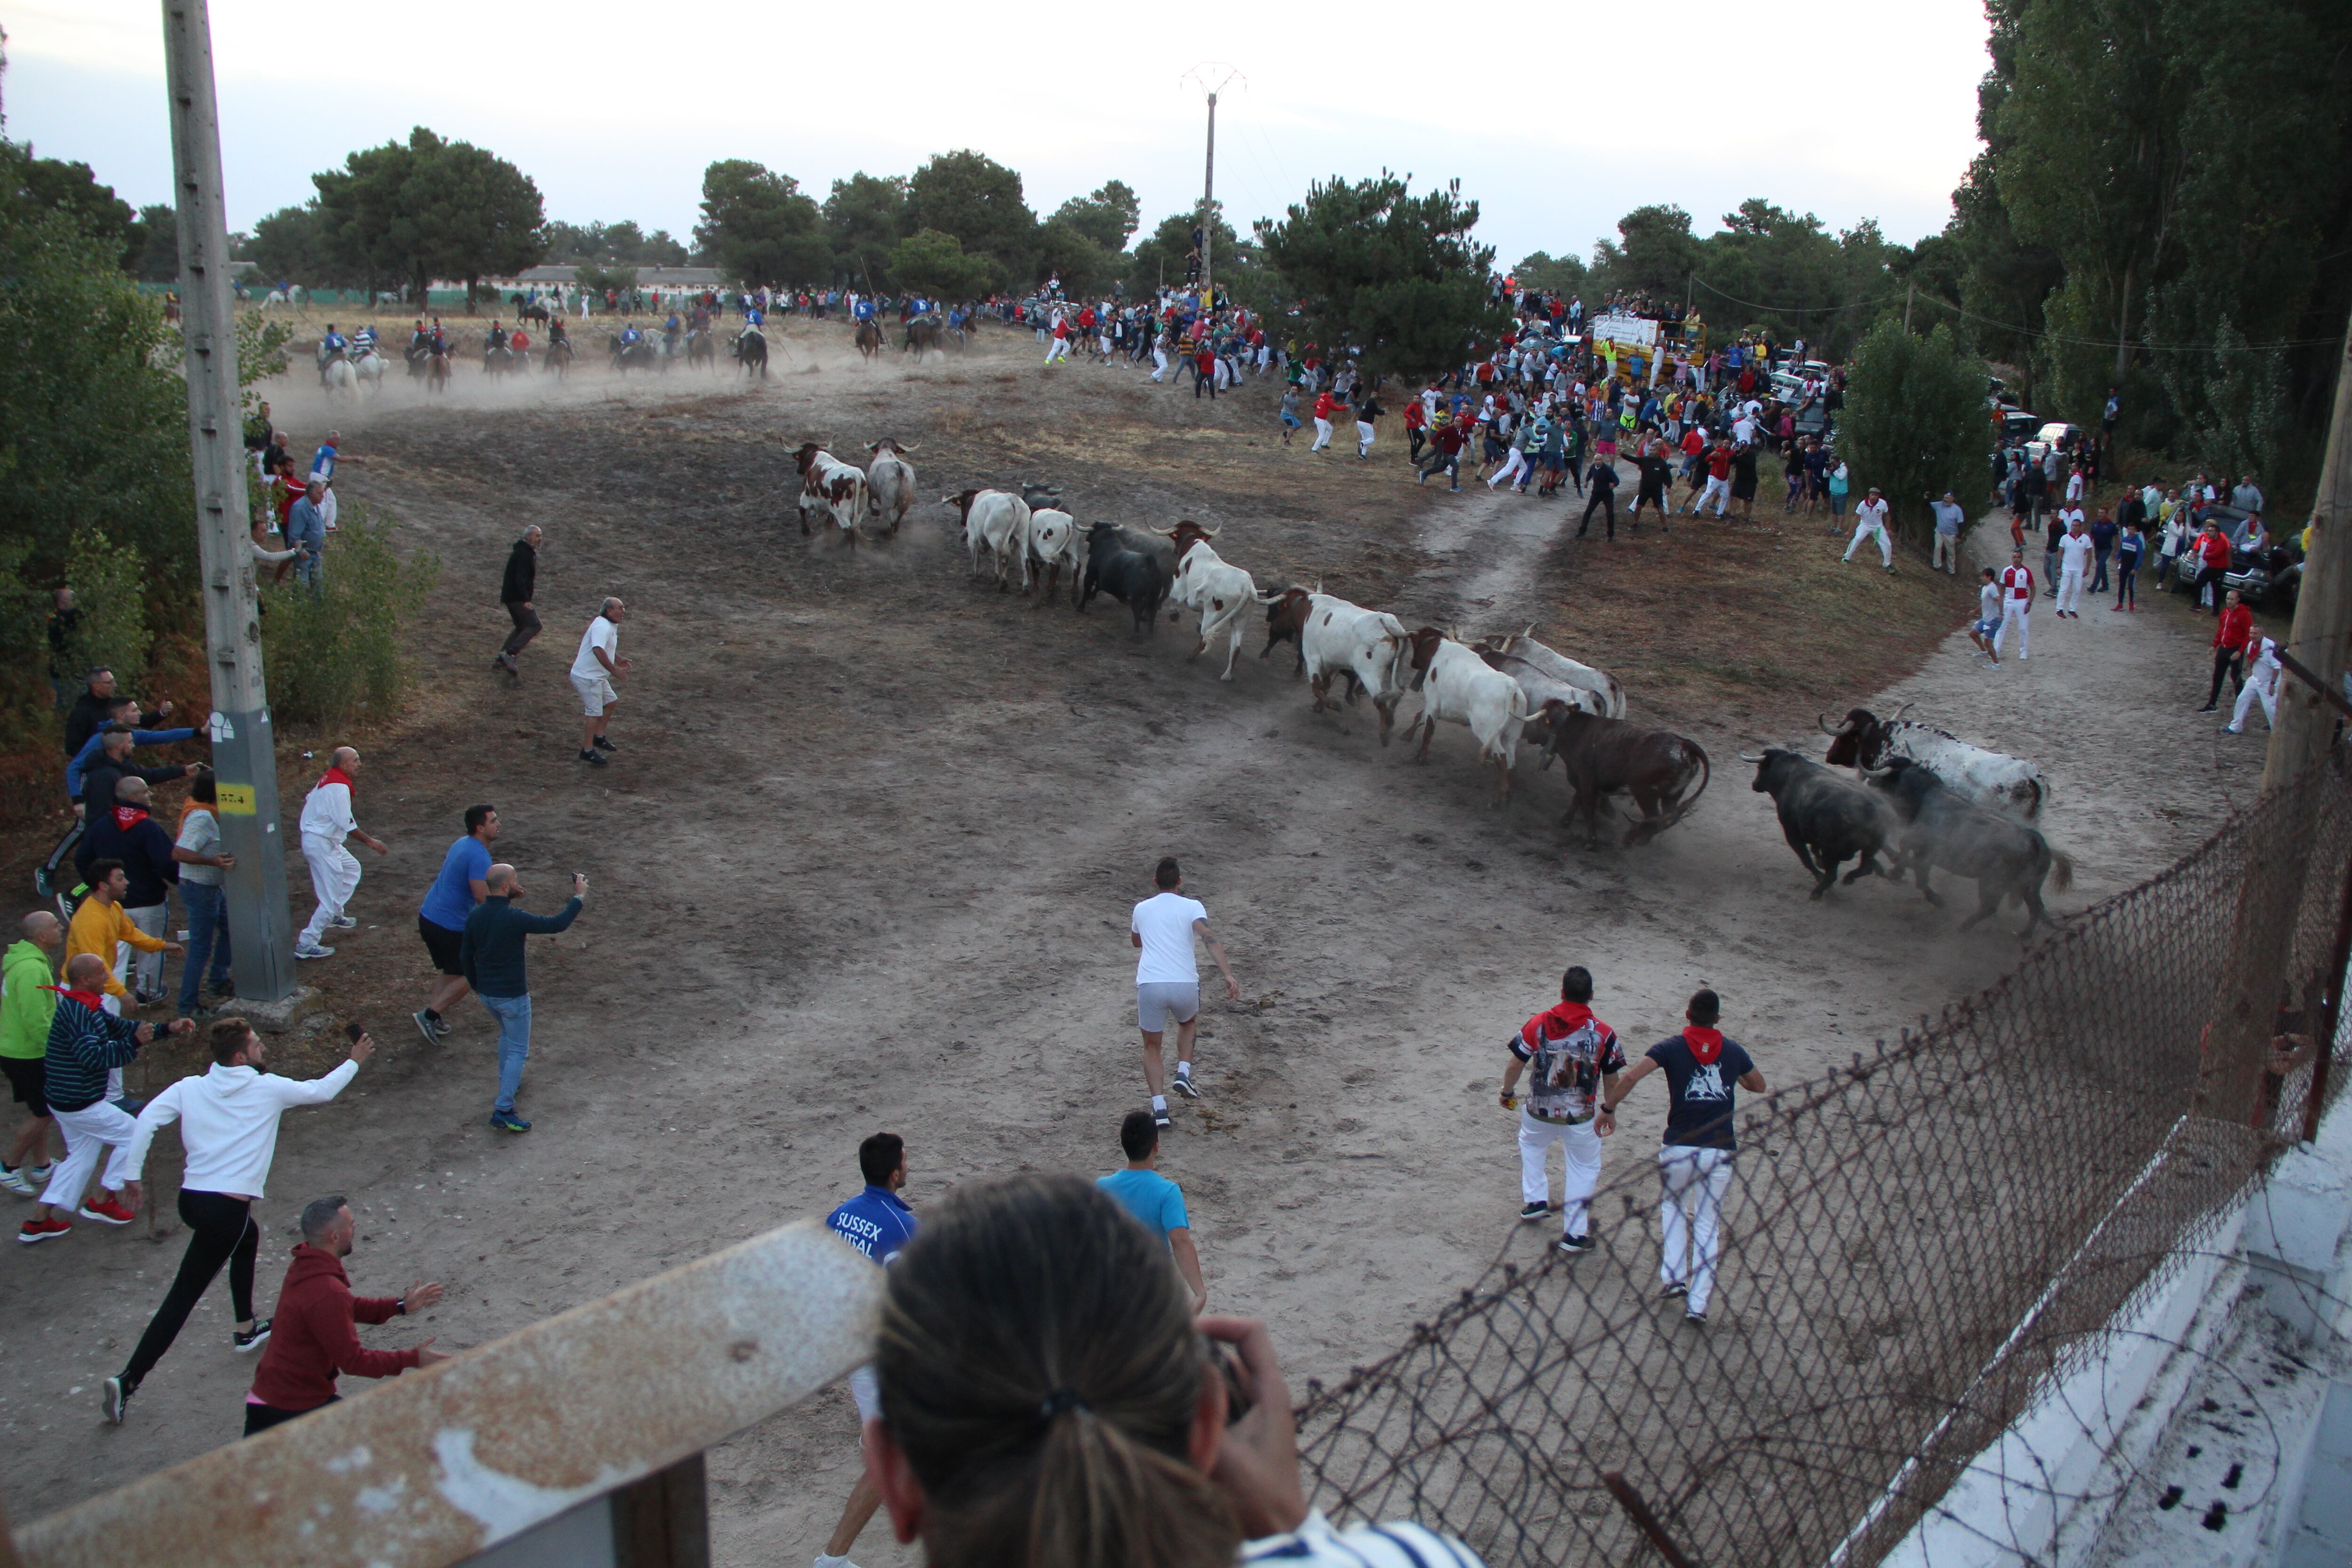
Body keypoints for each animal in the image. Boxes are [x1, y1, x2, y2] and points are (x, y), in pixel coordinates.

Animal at [1524, 710, 1712, 846]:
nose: (1529, 735)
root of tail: (1685, 745)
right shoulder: (1586, 780)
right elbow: (1578, 799)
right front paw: (1565, 821)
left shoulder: (1586, 777)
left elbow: (1587, 805)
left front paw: (1591, 841)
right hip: (1672, 795)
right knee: (1669, 818)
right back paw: (1639, 837)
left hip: (1644, 790)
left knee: (1655, 817)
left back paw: (1634, 837)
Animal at [1863, 757, 2070, 931]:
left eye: (1888, 772)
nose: (1869, 782)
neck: (1927, 795)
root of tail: (2034, 838)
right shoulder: (1924, 851)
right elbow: (1917, 870)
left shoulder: (1921, 845)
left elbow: (1911, 859)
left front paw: (1899, 875)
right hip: (2027, 886)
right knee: (2034, 907)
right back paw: (2026, 935)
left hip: (1992, 882)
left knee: (1991, 907)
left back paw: (1964, 927)